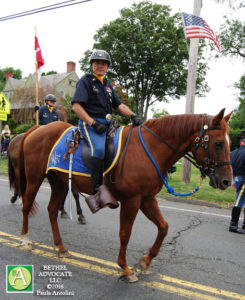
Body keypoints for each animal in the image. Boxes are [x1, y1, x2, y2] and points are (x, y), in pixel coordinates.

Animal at [16, 109, 233, 282]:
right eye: (219, 143)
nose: (227, 182)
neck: (150, 148)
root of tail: (36, 129)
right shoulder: (132, 200)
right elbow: (125, 234)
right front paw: (125, 268)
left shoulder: (147, 199)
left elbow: (163, 227)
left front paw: (146, 260)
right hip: (35, 178)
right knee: (26, 205)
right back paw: (25, 240)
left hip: (59, 183)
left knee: (52, 210)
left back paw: (61, 248)